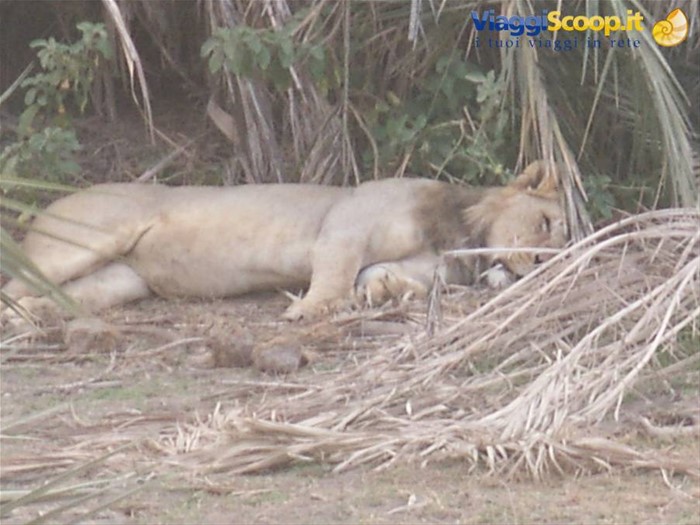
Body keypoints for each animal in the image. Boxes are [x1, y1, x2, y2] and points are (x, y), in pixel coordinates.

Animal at [2, 161, 567, 323]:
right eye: (545, 223)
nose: (544, 263)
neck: (459, 233)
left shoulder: (422, 264)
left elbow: (378, 277)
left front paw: (379, 293)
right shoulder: (346, 224)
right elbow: (334, 278)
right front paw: (308, 311)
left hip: (121, 280)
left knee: (53, 295)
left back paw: (36, 317)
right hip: (91, 239)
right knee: (13, 284)